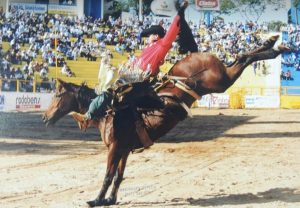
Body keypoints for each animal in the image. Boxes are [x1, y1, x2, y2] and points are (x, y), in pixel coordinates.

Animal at [41, 35, 286, 206]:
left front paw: (96, 200)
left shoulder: (115, 147)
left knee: (243, 59)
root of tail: (196, 55)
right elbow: (118, 176)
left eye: (57, 95)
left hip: (219, 81)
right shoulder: (124, 149)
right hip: (219, 80)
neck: (108, 110)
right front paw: (110, 200)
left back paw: (273, 46)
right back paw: (274, 45)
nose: (44, 117)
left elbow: (108, 175)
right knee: (240, 59)